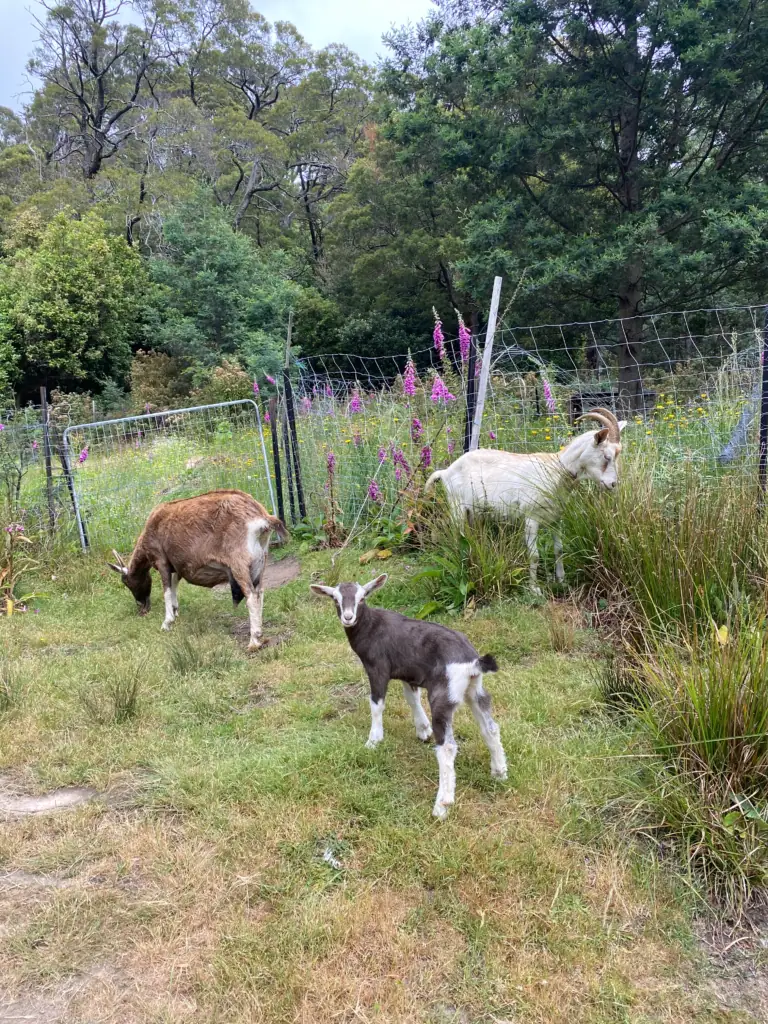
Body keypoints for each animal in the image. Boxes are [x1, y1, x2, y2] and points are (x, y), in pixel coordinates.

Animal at [108, 489, 288, 649]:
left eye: (128, 582)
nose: (142, 608)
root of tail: (261, 517)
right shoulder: (177, 564)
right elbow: (174, 584)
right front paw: (175, 610)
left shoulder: (161, 560)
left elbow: (166, 589)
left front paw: (167, 622)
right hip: (261, 562)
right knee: (260, 593)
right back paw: (260, 634)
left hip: (239, 564)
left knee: (251, 596)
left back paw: (254, 641)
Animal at [310, 574, 507, 819]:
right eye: (335, 599)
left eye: (362, 597)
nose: (348, 617)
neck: (371, 627)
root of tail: (473, 663)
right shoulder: (408, 673)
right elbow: (411, 698)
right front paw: (423, 730)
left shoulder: (378, 668)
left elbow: (377, 704)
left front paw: (373, 741)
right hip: (474, 690)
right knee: (490, 727)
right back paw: (499, 772)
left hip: (443, 694)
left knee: (447, 747)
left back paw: (442, 805)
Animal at [424, 408, 626, 594]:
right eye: (607, 456)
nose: (613, 484)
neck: (555, 469)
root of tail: (446, 471)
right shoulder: (531, 518)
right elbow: (534, 554)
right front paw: (534, 589)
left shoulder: (556, 518)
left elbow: (559, 549)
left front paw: (561, 581)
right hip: (456, 507)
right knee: (458, 538)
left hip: (473, 512)